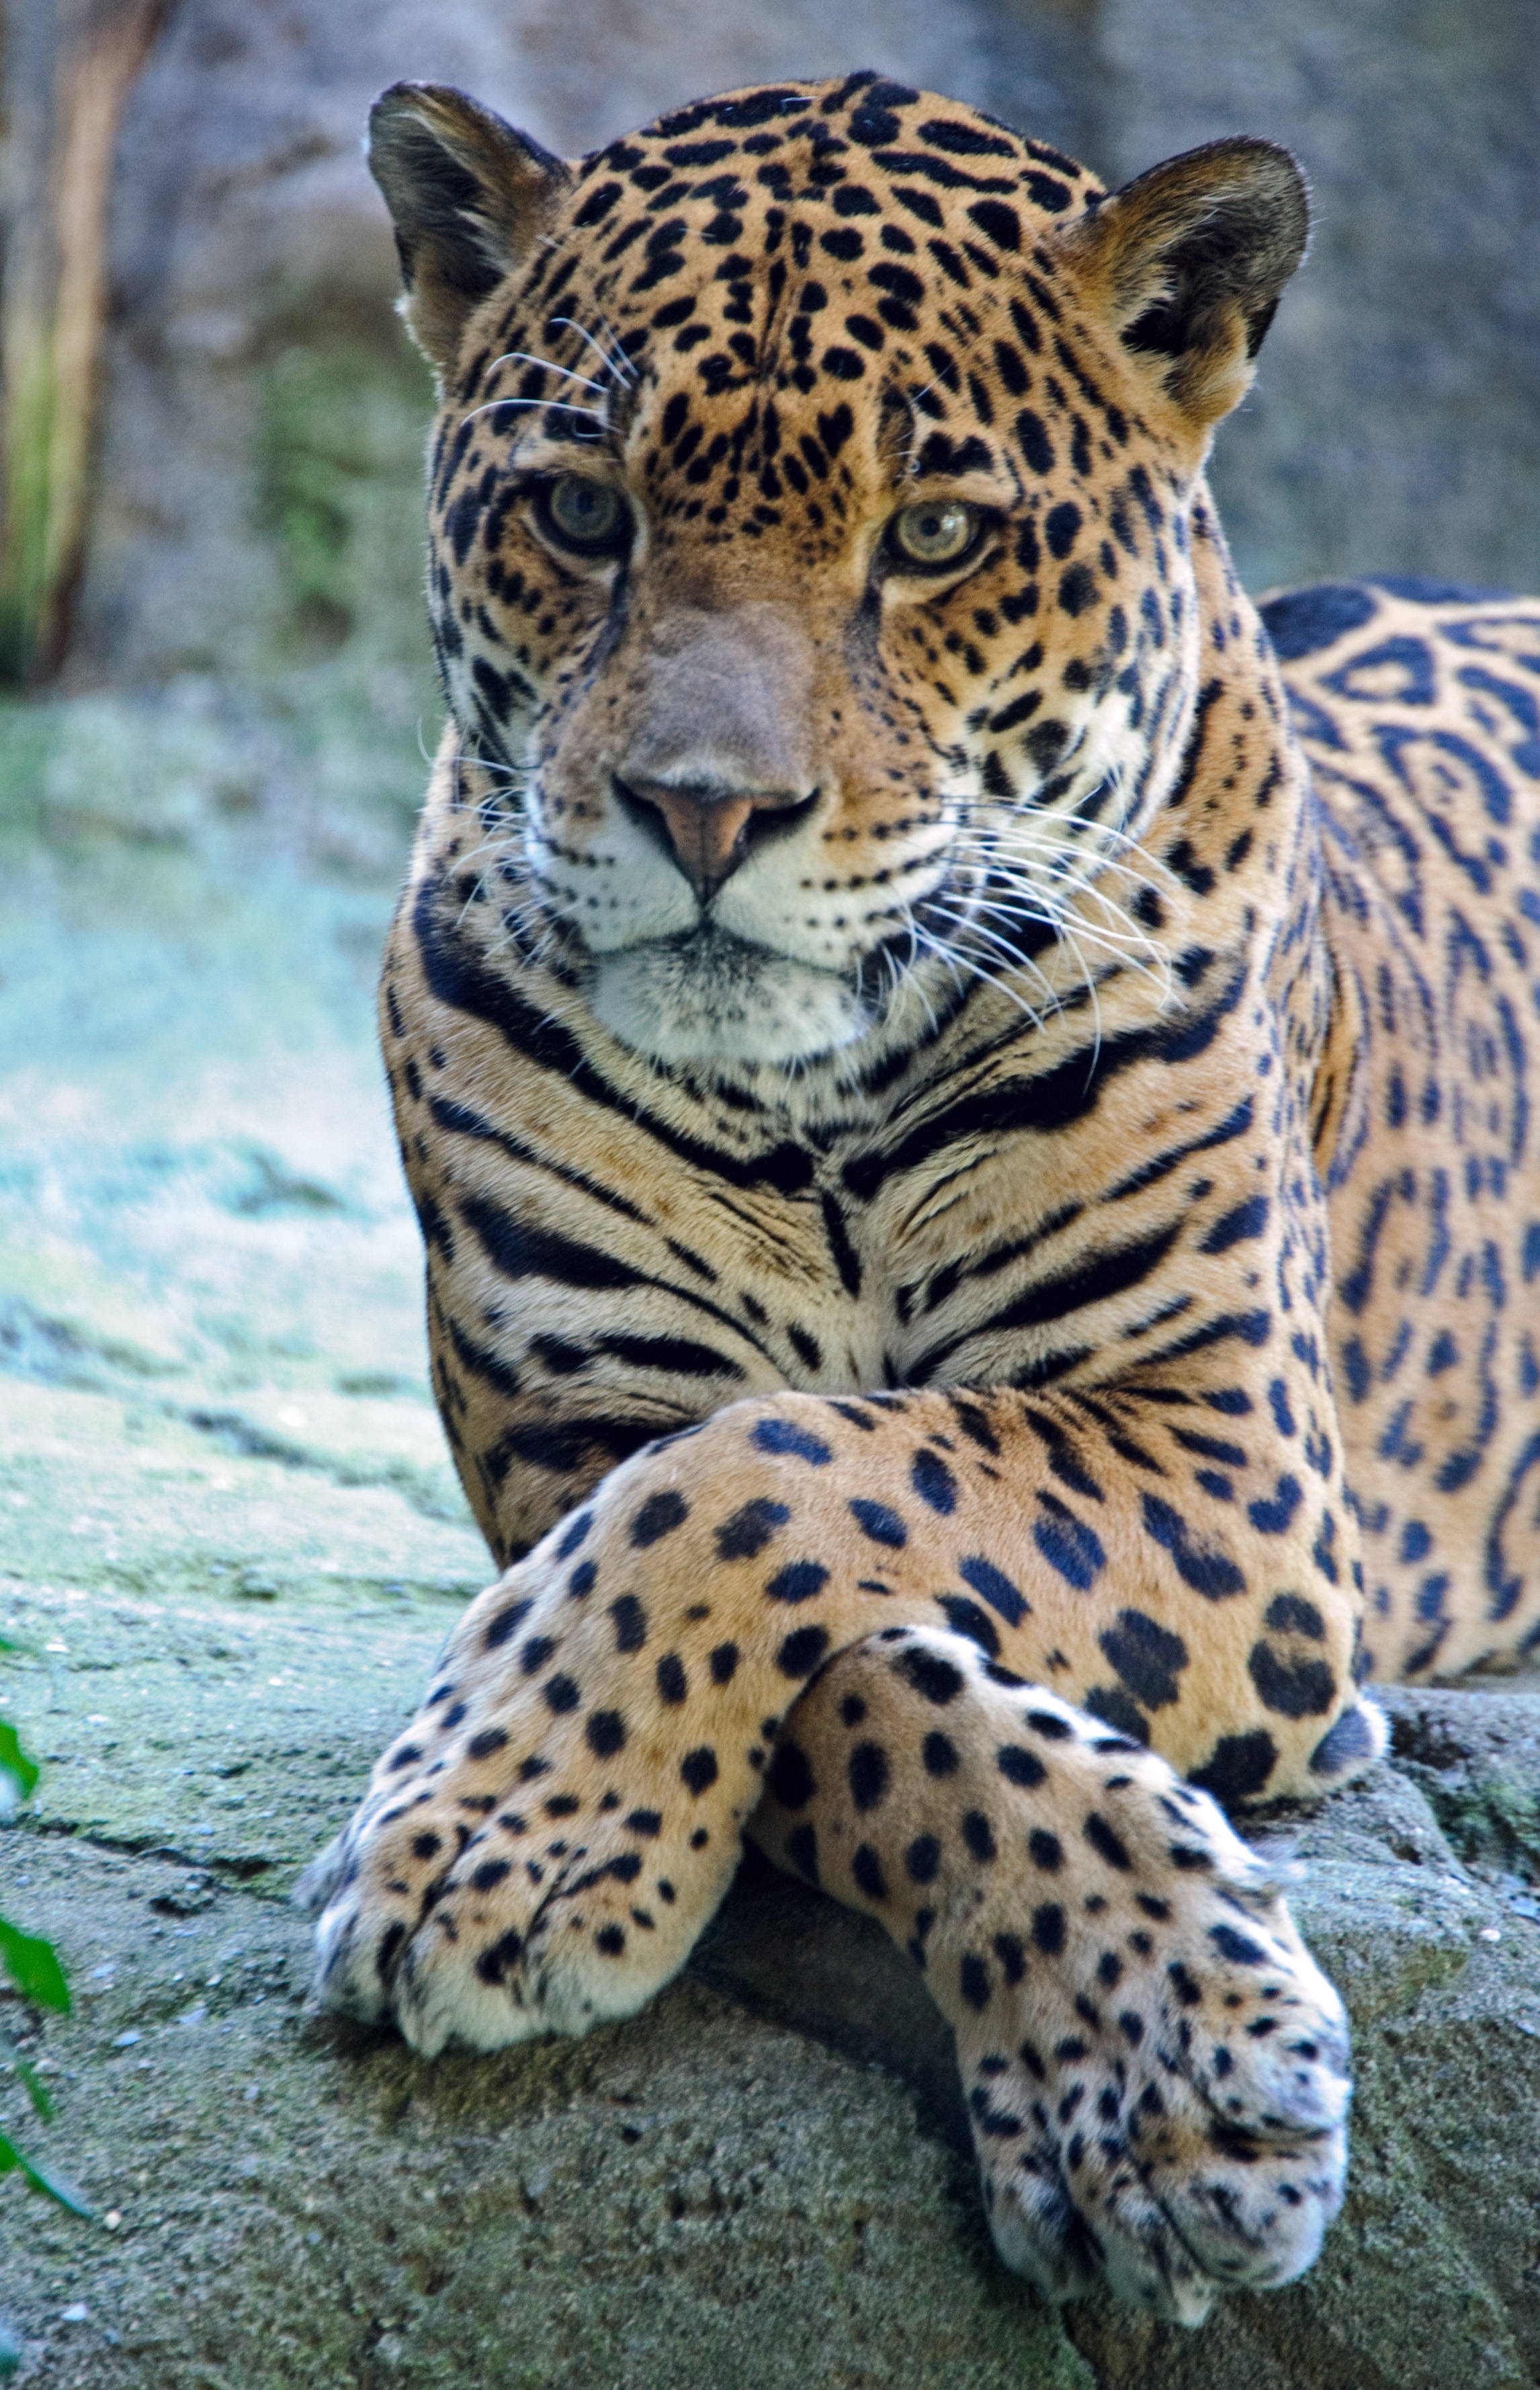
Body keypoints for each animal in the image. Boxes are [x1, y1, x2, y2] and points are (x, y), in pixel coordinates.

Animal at [300, 70, 1540, 2326]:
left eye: (936, 536)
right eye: (582, 516)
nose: (700, 810)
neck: (816, 1103)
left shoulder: (1223, 1448)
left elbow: (782, 1477)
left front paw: (497, 1825)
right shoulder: (573, 1422)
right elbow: (857, 1656)